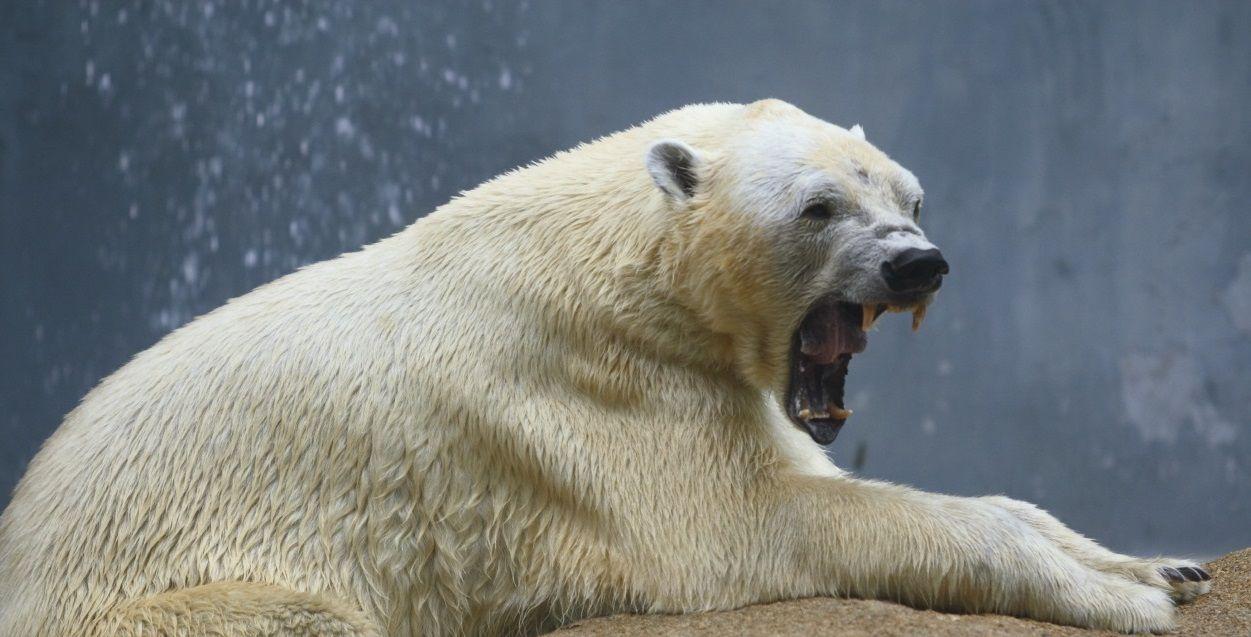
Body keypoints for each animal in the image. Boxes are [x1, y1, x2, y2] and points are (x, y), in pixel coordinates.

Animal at [0, 99, 1210, 635]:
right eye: (819, 206)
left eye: (909, 194)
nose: (919, 262)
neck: (616, 268)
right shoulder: (591, 392)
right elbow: (755, 524)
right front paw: (1130, 597)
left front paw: (1165, 562)